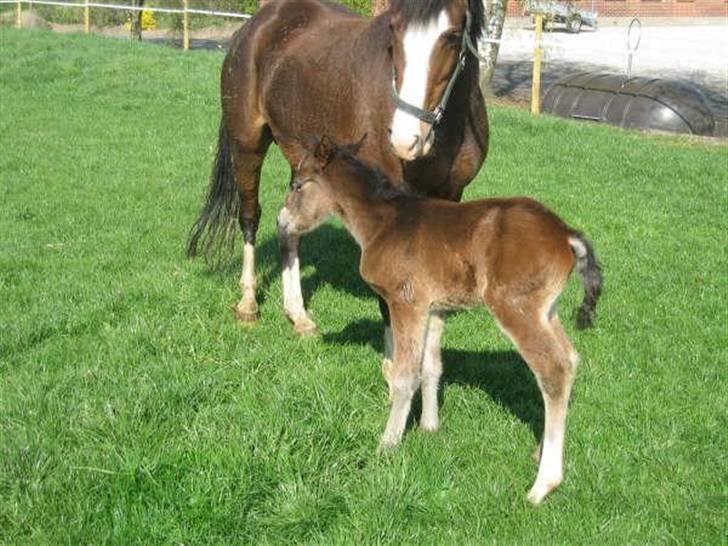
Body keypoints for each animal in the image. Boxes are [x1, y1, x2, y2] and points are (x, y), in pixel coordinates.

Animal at [278, 138, 604, 504]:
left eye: (297, 184)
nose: (281, 222)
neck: (383, 223)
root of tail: (566, 234)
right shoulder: (433, 310)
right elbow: (431, 366)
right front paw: (429, 427)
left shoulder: (406, 303)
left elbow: (405, 375)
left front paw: (387, 444)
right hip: (546, 311)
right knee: (571, 358)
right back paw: (541, 452)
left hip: (515, 308)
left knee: (553, 369)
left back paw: (544, 484)